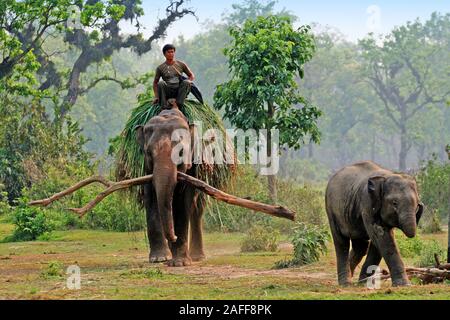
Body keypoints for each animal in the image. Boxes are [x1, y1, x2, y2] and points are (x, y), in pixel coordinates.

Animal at [135, 99, 206, 266]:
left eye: (181, 152)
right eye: (148, 153)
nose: (173, 237)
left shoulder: (191, 168)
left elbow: (182, 202)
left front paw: (180, 263)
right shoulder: (147, 170)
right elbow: (152, 199)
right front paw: (159, 258)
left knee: (197, 208)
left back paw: (197, 257)